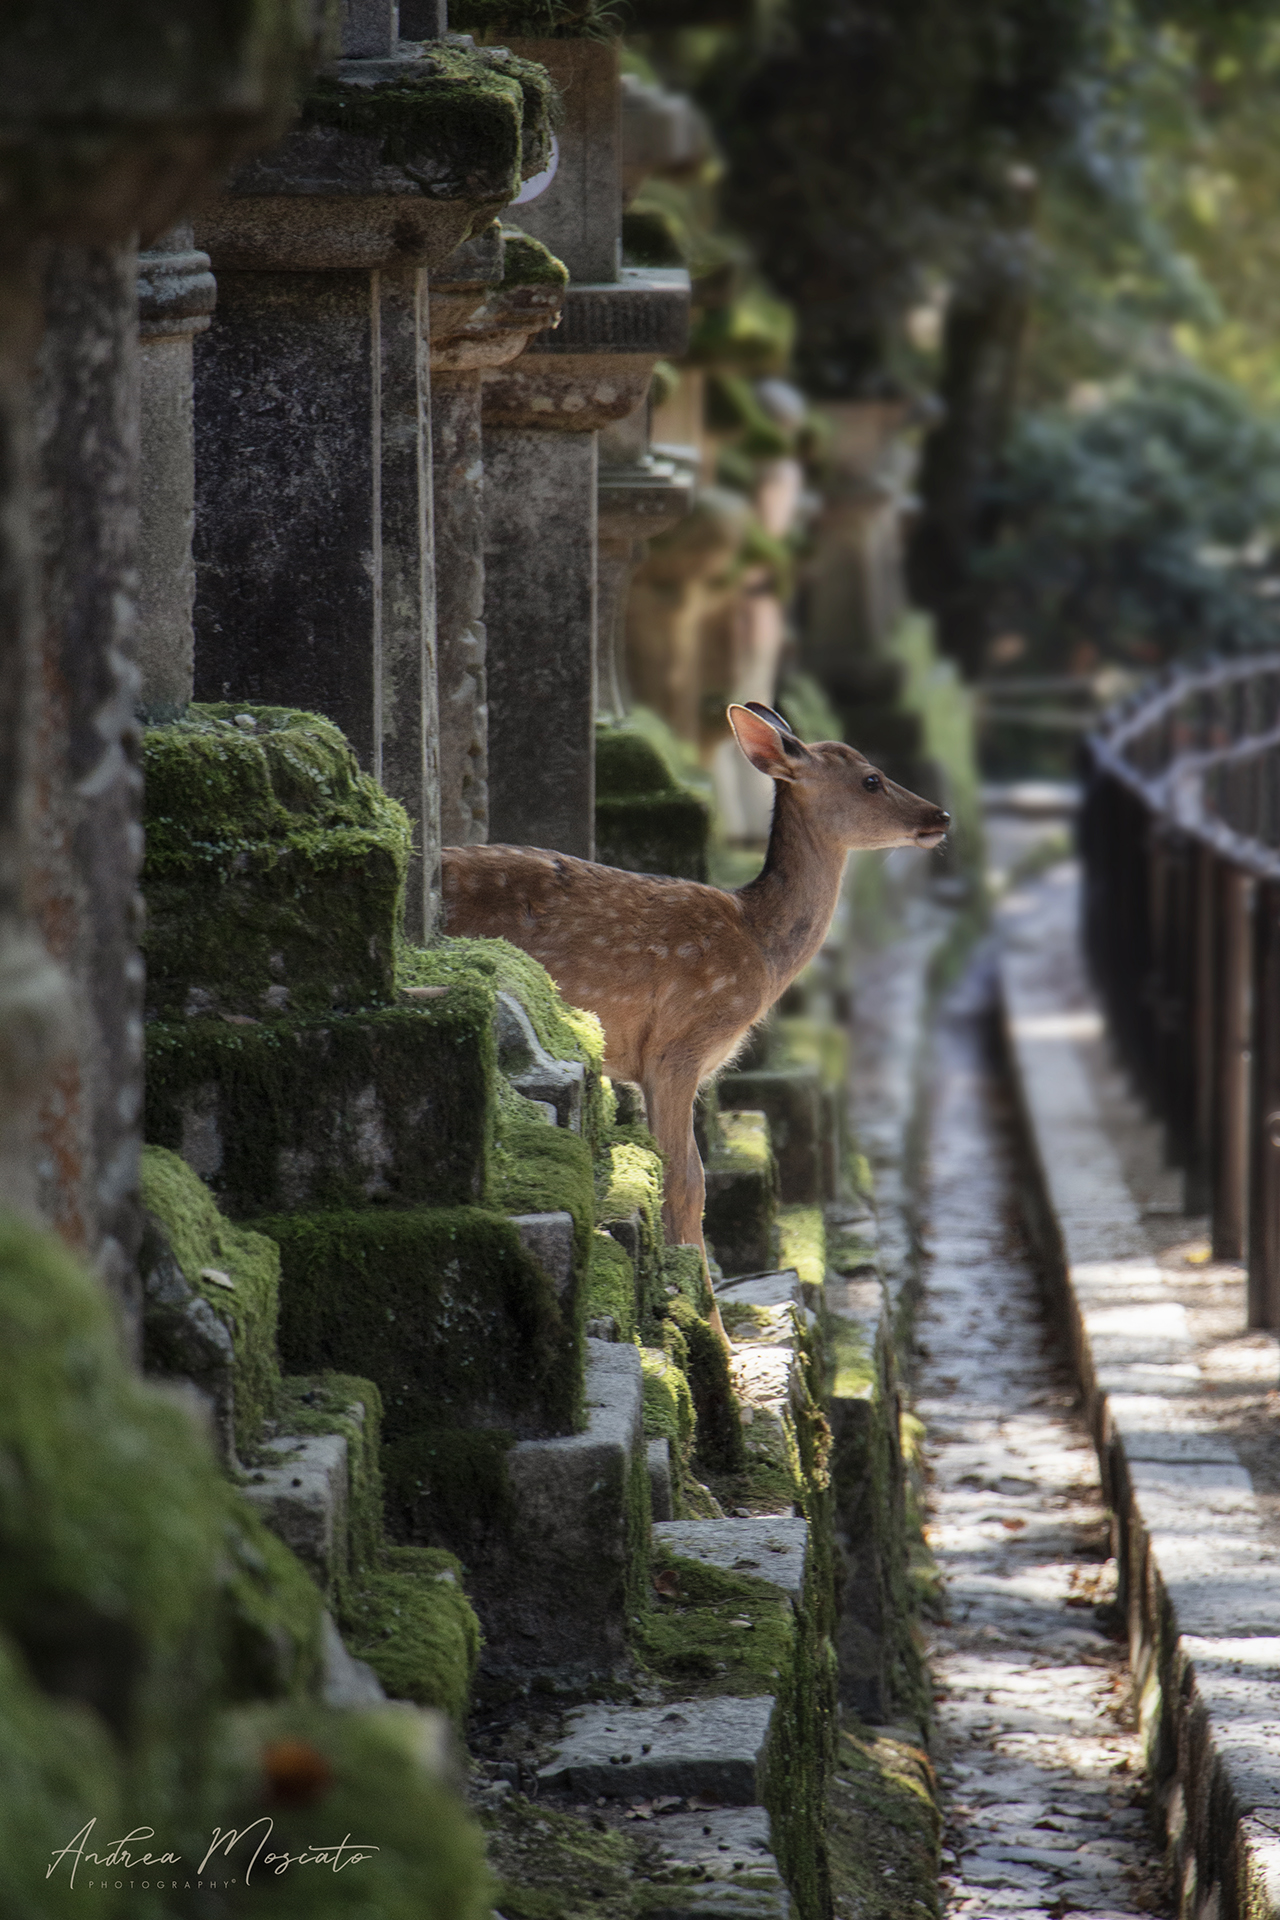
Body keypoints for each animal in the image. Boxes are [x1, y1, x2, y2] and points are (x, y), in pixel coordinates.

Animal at [442, 703, 950, 1347]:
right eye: (870, 780)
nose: (940, 816)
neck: (759, 947)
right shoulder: (678, 1045)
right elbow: (684, 1181)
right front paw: (715, 1336)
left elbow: (680, 1175)